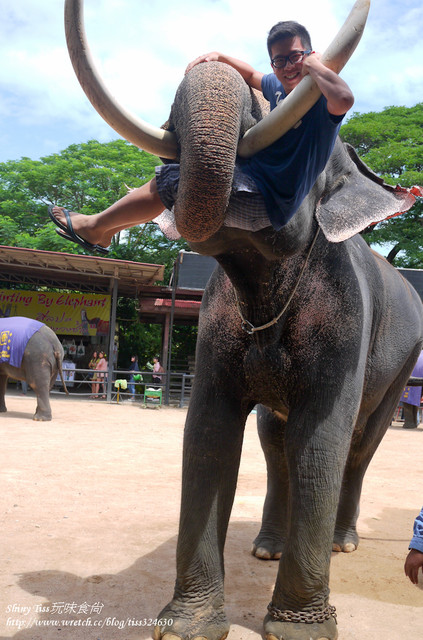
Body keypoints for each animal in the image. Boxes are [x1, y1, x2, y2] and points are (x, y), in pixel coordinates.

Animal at [65, 1, 423, 640]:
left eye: (296, 148)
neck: (263, 279)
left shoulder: (349, 320)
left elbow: (321, 439)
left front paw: (298, 630)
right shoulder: (216, 322)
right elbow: (209, 430)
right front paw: (183, 627)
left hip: (404, 362)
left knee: (360, 444)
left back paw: (343, 542)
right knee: (274, 442)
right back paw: (266, 548)